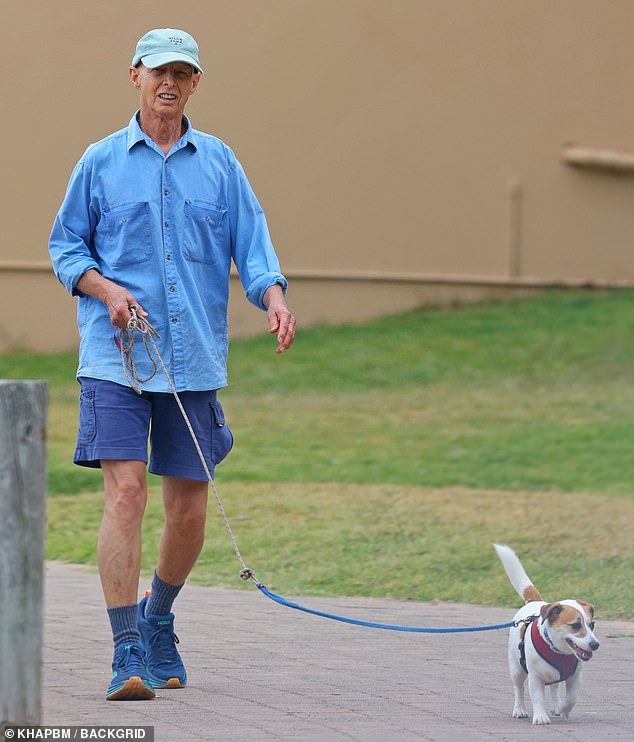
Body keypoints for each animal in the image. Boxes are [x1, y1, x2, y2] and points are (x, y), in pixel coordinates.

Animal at [494, 548, 596, 728]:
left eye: (592, 625)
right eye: (575, 625)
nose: (595, 644)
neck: (558, 651)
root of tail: (534, 602)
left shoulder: (575, 677)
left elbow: (572, 698)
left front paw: (563, 709)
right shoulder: (535, 678)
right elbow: (537, 698)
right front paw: (540, 717)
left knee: (554, 688)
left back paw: (556, 705)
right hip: (516, 669)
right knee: (518, 688)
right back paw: (519, 709)